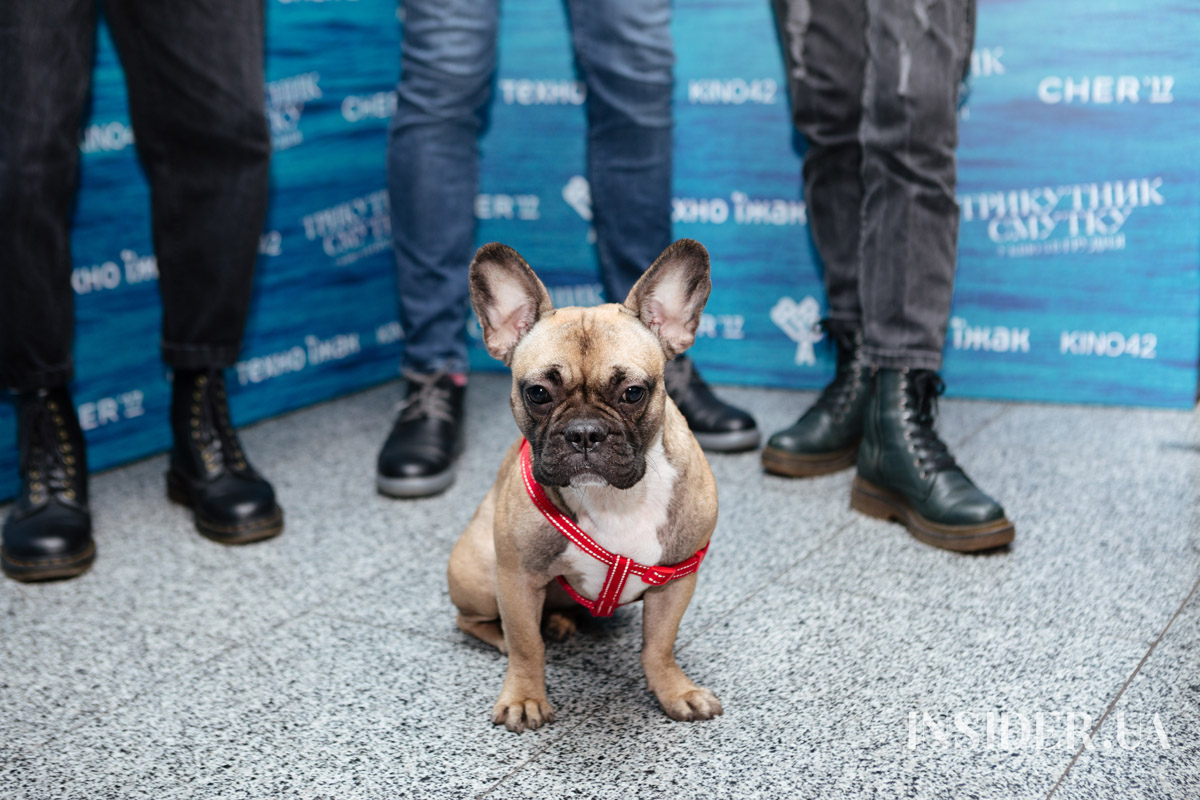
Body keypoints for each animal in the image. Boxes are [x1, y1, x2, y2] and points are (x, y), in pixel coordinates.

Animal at [448, 237, 720, 734]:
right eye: (537, 393)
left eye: (633, 392)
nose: (585, 432)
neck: (614, 499)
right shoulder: (517, 578)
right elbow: (526, 646)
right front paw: (524, 696)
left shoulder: (675, 577)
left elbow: (659, 645)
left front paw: (675, 691)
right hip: (479, 573)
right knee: (472, 621)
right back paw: (508, 636)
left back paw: (558, 622)